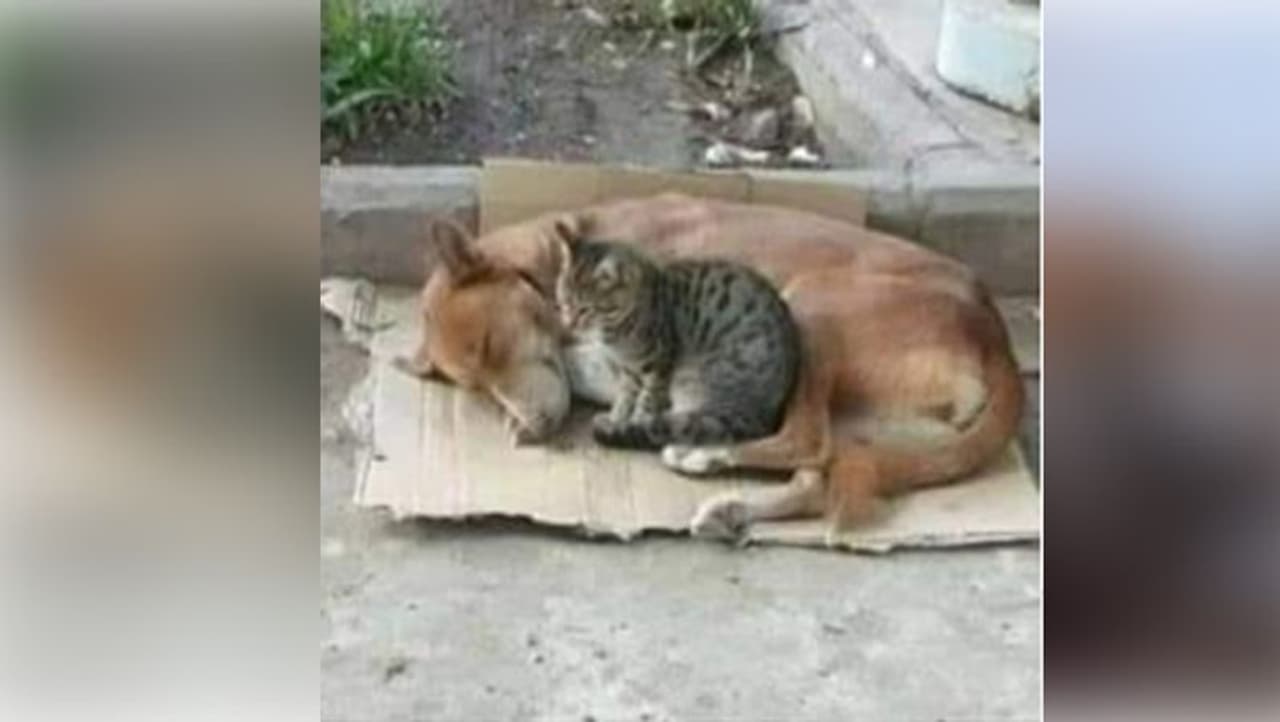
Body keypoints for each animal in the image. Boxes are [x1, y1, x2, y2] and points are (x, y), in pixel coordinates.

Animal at [555, 237, 800, 450]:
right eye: (564, 303)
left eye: (585, 309)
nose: (568, 324)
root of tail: (763, 417)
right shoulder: (628, 370)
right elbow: (625, 397)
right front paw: (618, 416)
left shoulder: (658, 364)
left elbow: (646, 401)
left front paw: (634, 422)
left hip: (696, 381)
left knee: (680, 426)